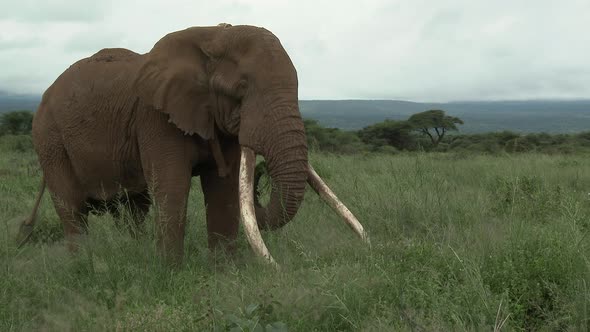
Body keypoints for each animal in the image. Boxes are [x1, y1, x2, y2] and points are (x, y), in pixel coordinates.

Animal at [17, 23, 370, 266]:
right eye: (241, 89)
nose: (261, 173)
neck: (211, 36)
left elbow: (224, 189)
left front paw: (224, 272)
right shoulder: (155, 117)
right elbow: (172, 187)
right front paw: (170, 274)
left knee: (134, 208)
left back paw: (131, 253)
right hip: (48, 137)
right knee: (72, 209)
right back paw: (85, 265)